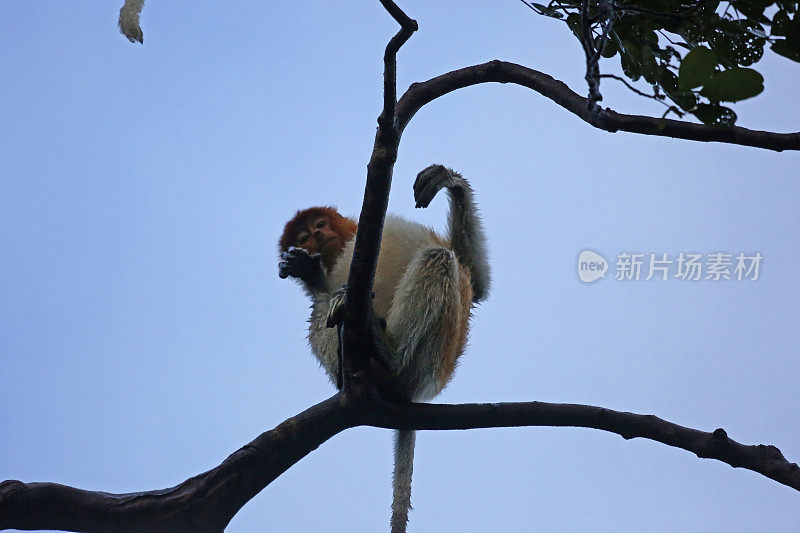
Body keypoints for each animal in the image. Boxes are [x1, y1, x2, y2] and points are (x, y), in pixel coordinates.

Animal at [276, 164, 488, 528]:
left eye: (320, 225)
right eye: (303, 238)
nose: (316, 235)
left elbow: (477, 281)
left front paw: (452, 183)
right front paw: (309, 273)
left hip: (431, 358)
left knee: (439, 256)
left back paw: (389, 355)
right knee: (322, 311)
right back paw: (351, 370)